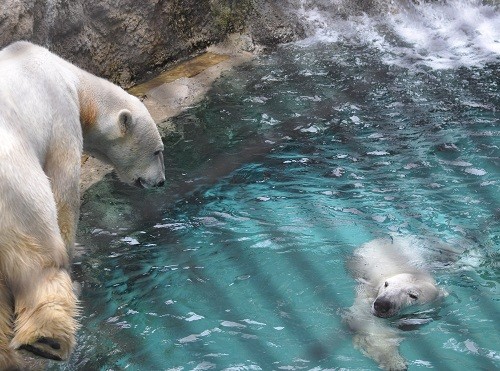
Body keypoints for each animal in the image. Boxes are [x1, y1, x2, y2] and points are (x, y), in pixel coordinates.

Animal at [0, 41, 166, 370]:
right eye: (157, 151)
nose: (162, 182)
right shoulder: (59, 113)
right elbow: (63, 189)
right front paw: (75, 249)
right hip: (14, 185)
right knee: (38, 256)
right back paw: (47, 339)